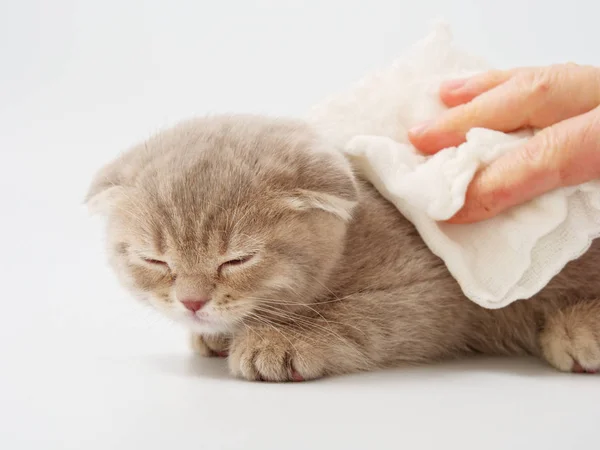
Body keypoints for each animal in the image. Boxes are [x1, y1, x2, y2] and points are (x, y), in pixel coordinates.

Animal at [86, 115, 600, 380]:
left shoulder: (437, 293)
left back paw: (578, 329)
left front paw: (280, 340)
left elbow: (355, 315)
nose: (192, 302)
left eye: (237, 260)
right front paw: (218, 333)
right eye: (155, 260)